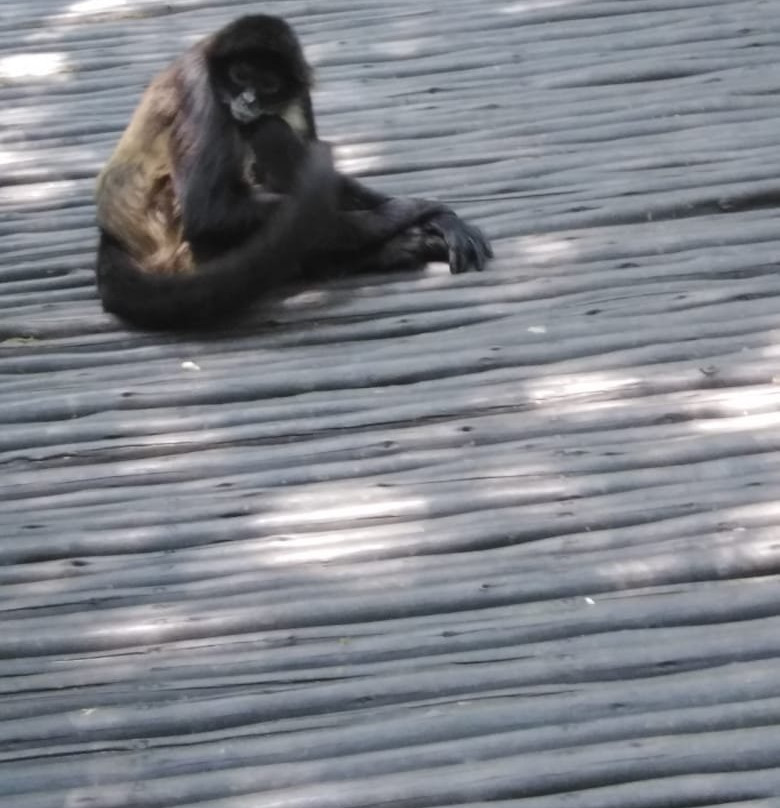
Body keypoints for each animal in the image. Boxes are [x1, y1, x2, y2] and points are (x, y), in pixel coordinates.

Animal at [95, 14, 492, 329]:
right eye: (240, 75)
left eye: (268, 84)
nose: (249, 99)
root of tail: (114, 235)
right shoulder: (201, 88)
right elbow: (209, 213)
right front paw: (407, 212)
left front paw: (439, 220)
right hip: (186, 246)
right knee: (267, 132)